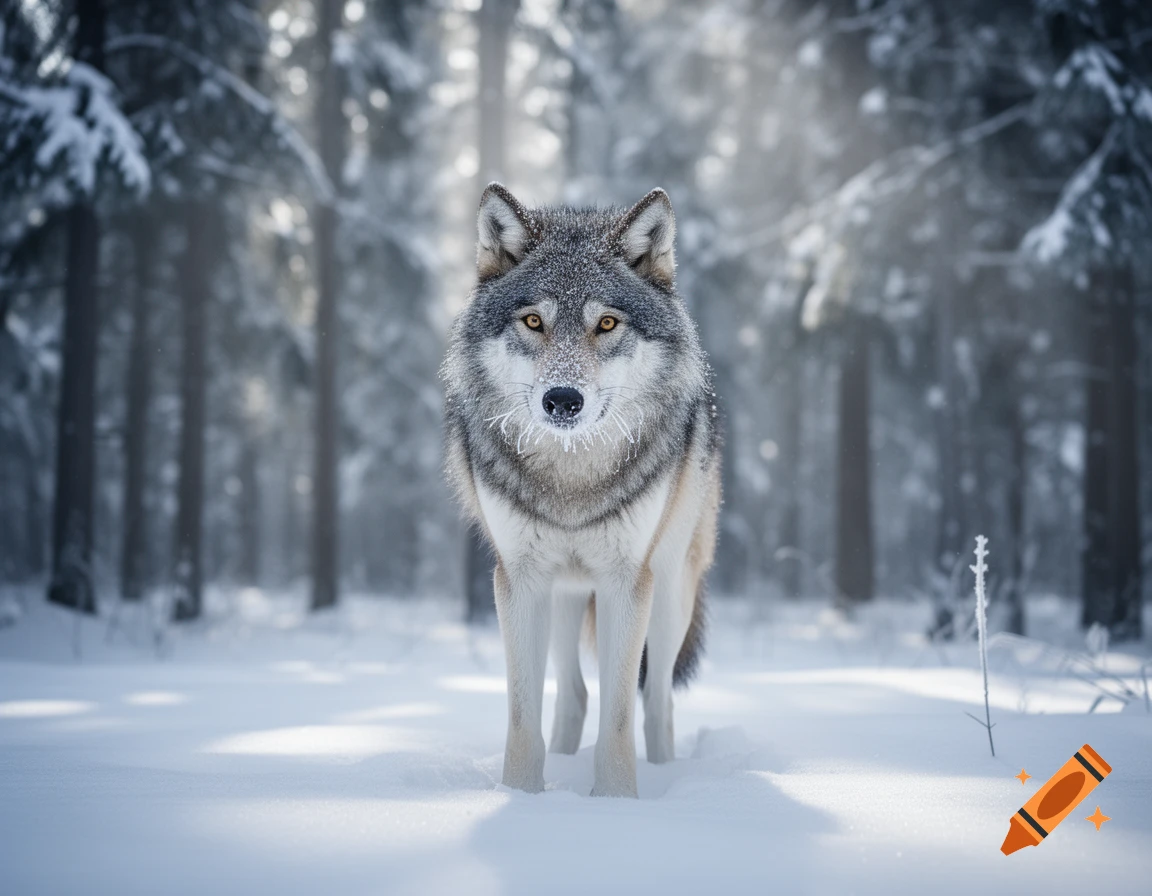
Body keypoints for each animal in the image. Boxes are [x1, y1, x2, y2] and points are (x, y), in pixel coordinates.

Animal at [442, 183, 721, 798]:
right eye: (533, 321)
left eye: (608, 324)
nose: (563, 400)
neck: (572, 478)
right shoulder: (519, 580)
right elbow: (524, 719)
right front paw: (522, 797)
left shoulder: (626, 582)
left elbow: (619, 717)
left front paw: (614, 804)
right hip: (564, 595)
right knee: (573, 695)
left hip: (669, 592)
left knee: (657, 702)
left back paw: (667, 776)